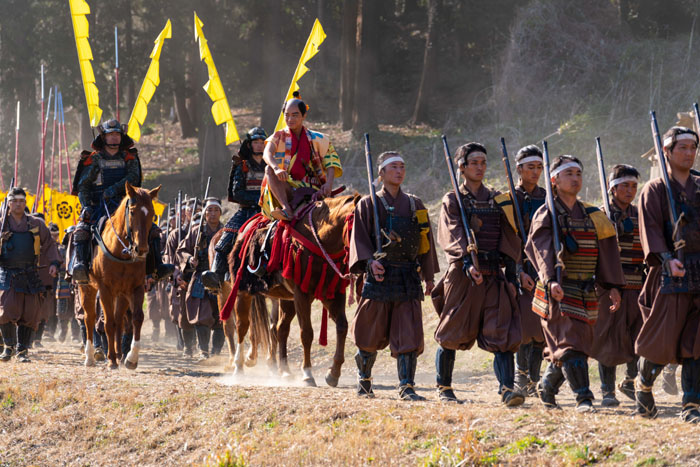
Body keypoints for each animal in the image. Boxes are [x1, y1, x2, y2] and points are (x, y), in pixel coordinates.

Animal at [79, 183, 161, 370]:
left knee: (119, 321)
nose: (141, 249)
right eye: (132, 211)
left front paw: (131, 358)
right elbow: (107, 322)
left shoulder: (136, 287)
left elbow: (137, 318)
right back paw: (91, 357)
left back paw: (118, 354)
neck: (120, 250)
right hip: (87, 288)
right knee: (90, 318)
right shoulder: (105, 289)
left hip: (122, 294)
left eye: (152, 213)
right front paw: (110, 360)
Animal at [221, 194, 358, 388]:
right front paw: (307, 374)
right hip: (243, 291)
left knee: (281, 329)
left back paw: (284, 371)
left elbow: (342, 327)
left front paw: (333, 373)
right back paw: (238, 367)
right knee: (242, 326)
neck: (320, 240)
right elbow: (306, 333)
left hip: (286, 298)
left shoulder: (332, 294)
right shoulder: (302, 294)